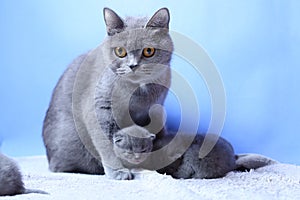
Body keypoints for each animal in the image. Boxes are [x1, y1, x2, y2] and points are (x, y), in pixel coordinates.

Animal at [42, 7, 173, 180]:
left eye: (149, 51)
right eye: (120, 51)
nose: (133, 65)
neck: (137, 92)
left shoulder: (155, 108)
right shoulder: (99, 108)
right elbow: (106, 145)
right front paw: (119, 171)